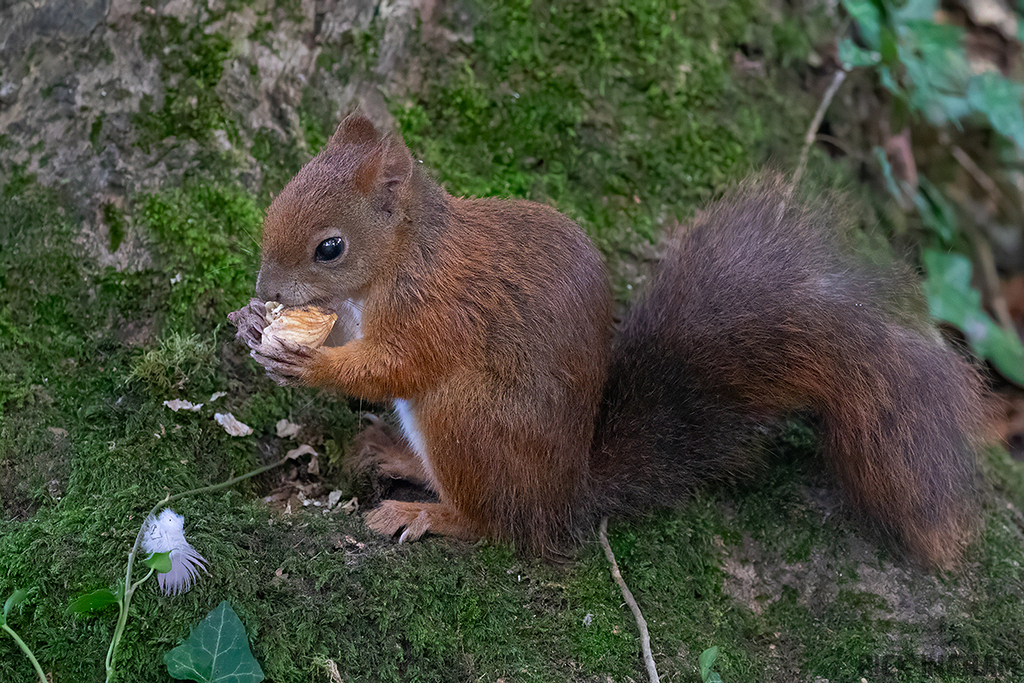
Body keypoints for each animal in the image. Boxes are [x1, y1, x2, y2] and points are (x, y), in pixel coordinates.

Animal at [229, 113, 989, 568]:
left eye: (330, 247)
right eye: (277, 200)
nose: (266, 284)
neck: (401, 260)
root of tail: (566, 496)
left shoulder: (439, 313)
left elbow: (394, 365)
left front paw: (306, 360)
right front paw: (251, 322)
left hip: (468, 423)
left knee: (501, 526)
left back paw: (427, 514)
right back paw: (393, 453)